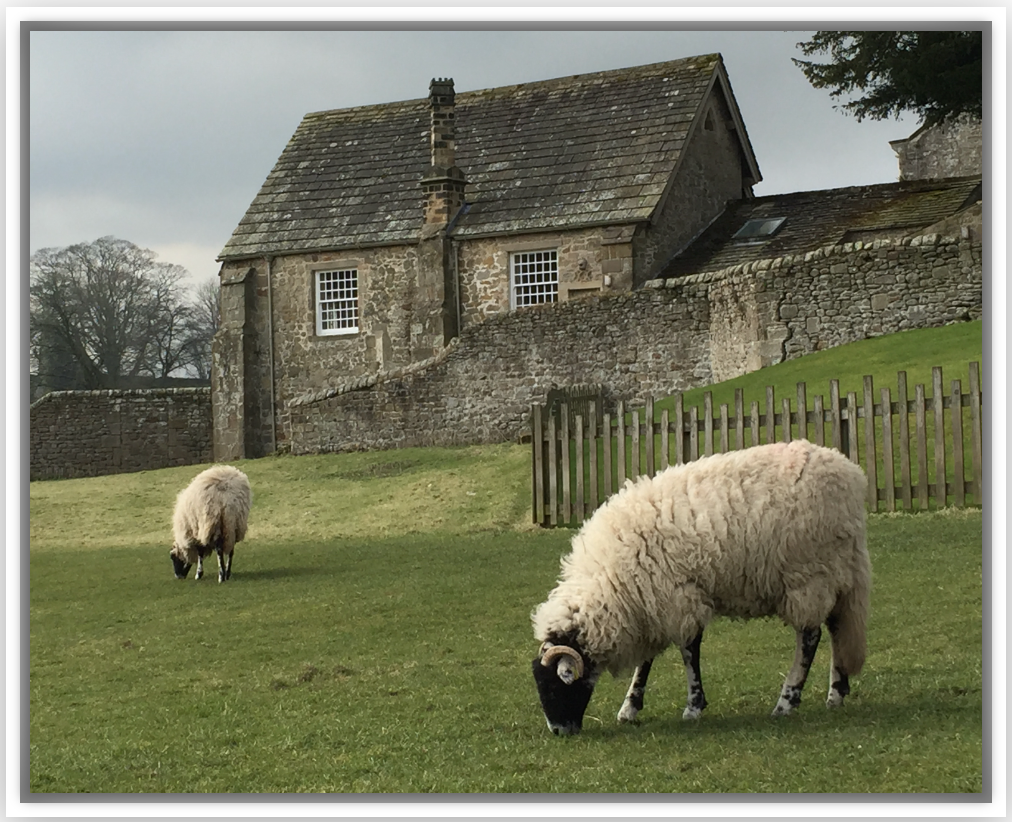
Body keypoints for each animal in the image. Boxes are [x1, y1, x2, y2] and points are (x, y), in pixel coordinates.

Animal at [530, 439, 870, 736]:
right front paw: (630, 707)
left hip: (808, 574)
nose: (559, 731)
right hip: (835, 572)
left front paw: (693, 706)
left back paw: (787, 701)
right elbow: (646, 661)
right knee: (837, 628)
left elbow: (688, 651)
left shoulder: (676, 596)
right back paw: (835, 693)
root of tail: (850, 475)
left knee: (809, 637)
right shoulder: (651, 602)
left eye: (555, 684)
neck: (609, 582)